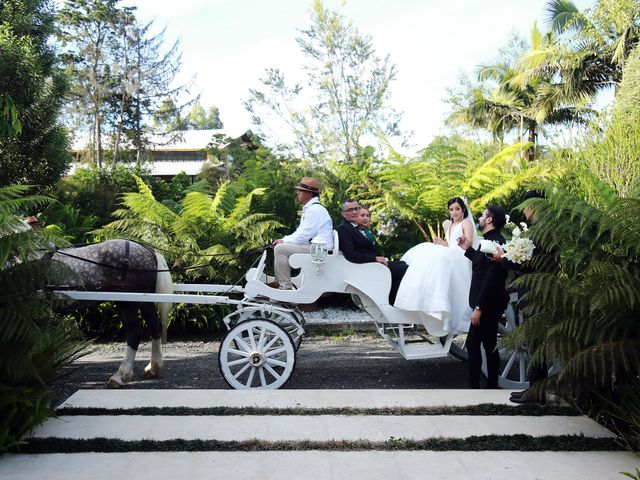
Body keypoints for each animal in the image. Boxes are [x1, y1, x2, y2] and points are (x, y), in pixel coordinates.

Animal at [50, 238, 174, 388]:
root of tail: (147, 249)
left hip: (126, 302)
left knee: (134, 333)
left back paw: (120, 376)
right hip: (145, 301)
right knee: (154, 327)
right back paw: (153, 368)